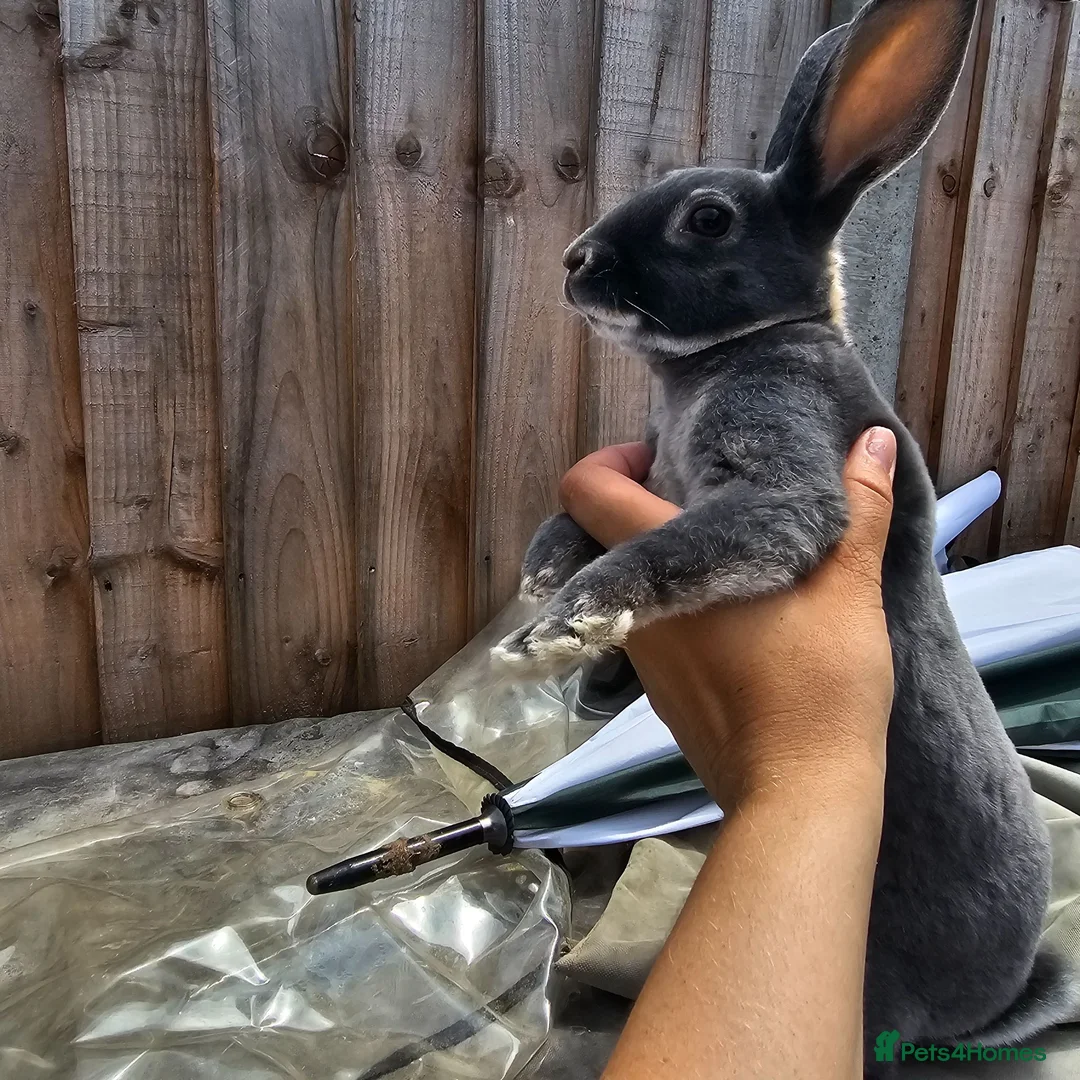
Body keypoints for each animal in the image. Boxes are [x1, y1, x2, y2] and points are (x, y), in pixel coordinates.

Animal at [492, 0, 1077, 1067]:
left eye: (707, 218)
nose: (575, 262)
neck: (743, 345)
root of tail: (999, 992)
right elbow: (578, 517)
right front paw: (547, 578)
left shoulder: (780, 463)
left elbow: (695, 542)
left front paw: (566, 624)